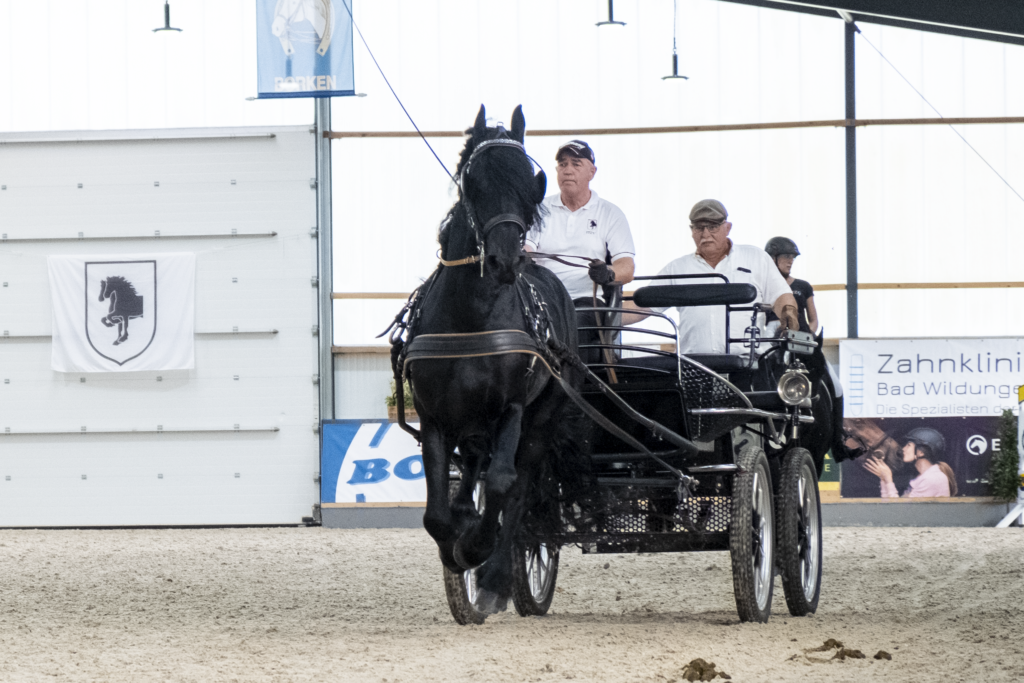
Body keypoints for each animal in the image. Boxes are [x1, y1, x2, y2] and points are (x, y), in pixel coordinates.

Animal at [407, 105, 585, 614]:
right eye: (475, 181)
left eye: (531, 180)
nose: (506, 261)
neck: (470, 316)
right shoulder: (433, 415)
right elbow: (436, 514)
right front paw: (458, 545)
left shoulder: (512, 408)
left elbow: (504, 484)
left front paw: (479, 556)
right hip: (470, 420)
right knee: (473, 466)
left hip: (541, 420)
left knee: (520, 486)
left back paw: (497, 577)